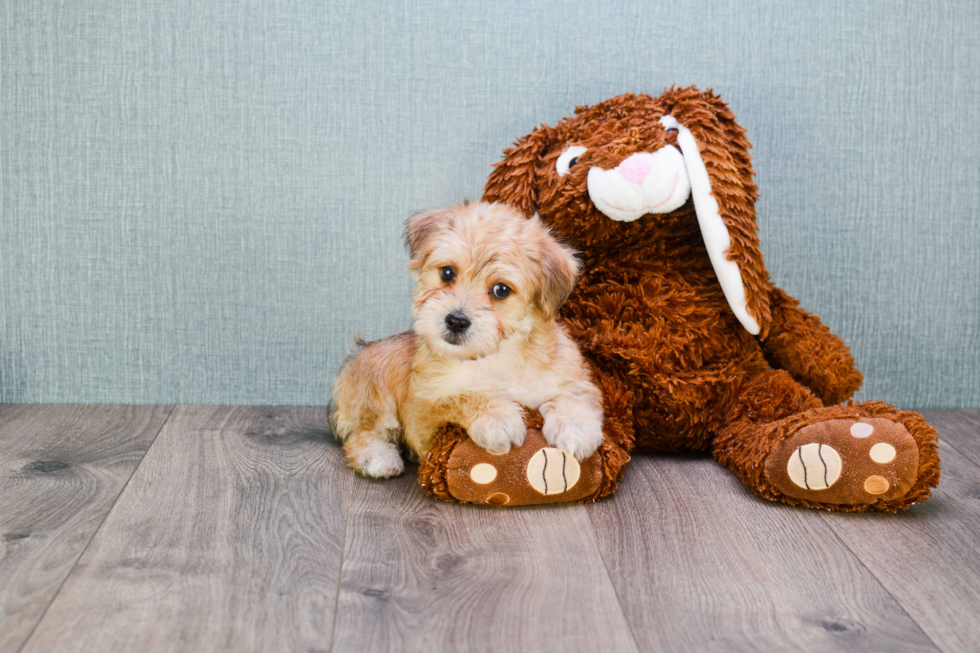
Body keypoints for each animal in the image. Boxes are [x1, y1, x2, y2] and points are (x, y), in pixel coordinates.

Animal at [330, 201, 604, 476]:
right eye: (447, 273)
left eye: (501, 290)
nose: (456, 320)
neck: (497, 355)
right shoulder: (421, 412)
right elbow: (459, 397)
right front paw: (497, 417)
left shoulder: (570, 375)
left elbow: (576, 394)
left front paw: (575, 426)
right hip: (375, 392)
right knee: (361, 435)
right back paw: (378, 457)